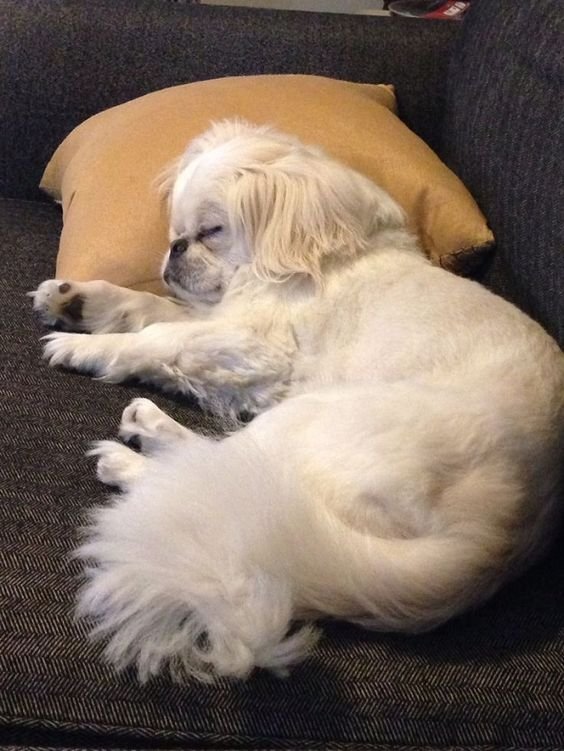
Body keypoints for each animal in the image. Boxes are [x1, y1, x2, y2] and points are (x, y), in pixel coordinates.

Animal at [32, 120, 564, 684]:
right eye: (177, 230)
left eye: (211, 232)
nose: (174, 247)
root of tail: (494, 539)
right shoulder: (222, 320)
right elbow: (148, 307)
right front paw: (75, 301)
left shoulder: (256, 345)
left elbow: (154, 337)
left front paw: (81, 347)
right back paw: (148, 428)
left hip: (310, 417)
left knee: (217, 484)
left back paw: (129, 456)